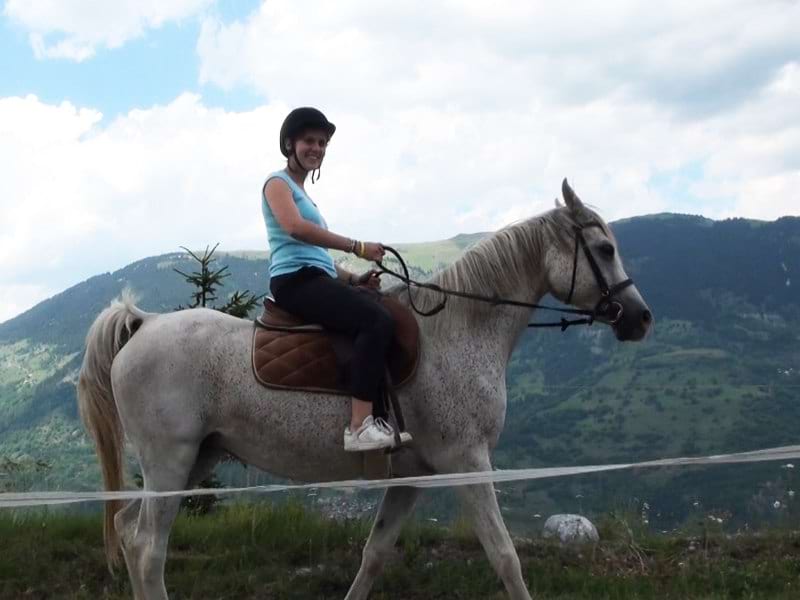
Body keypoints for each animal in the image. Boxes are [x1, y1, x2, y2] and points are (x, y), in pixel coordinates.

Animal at [76, 180, 648, 596]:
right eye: (604, 248)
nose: (640, 317)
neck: (457, 329)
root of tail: (145, 323)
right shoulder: (467, 461)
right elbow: (505, 557)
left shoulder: (413, 477)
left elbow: (374, 556)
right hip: (170, 461)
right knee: (149, 548)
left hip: (197, 458)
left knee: (127, 530)